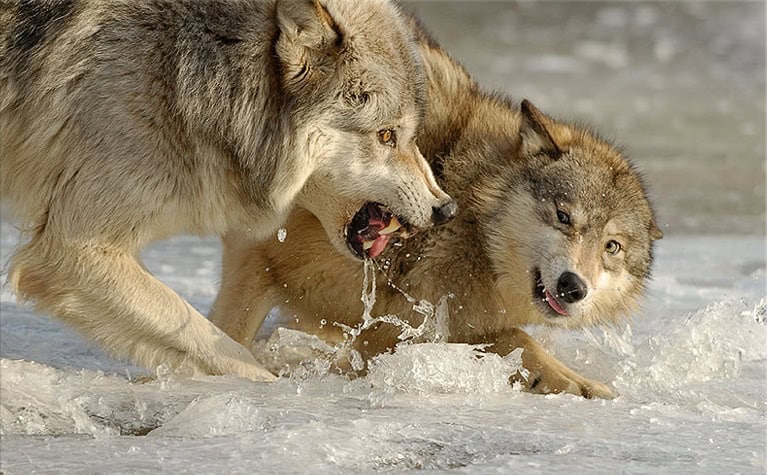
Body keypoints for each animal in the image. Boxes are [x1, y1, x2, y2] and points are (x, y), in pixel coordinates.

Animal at [210, 24, 662, 397]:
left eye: (612, 247)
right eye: (564, 216)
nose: (573, 286)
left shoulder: (403, 327)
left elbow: (518, 342)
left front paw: (579, 384)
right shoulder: (258, 259)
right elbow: (229, 336)